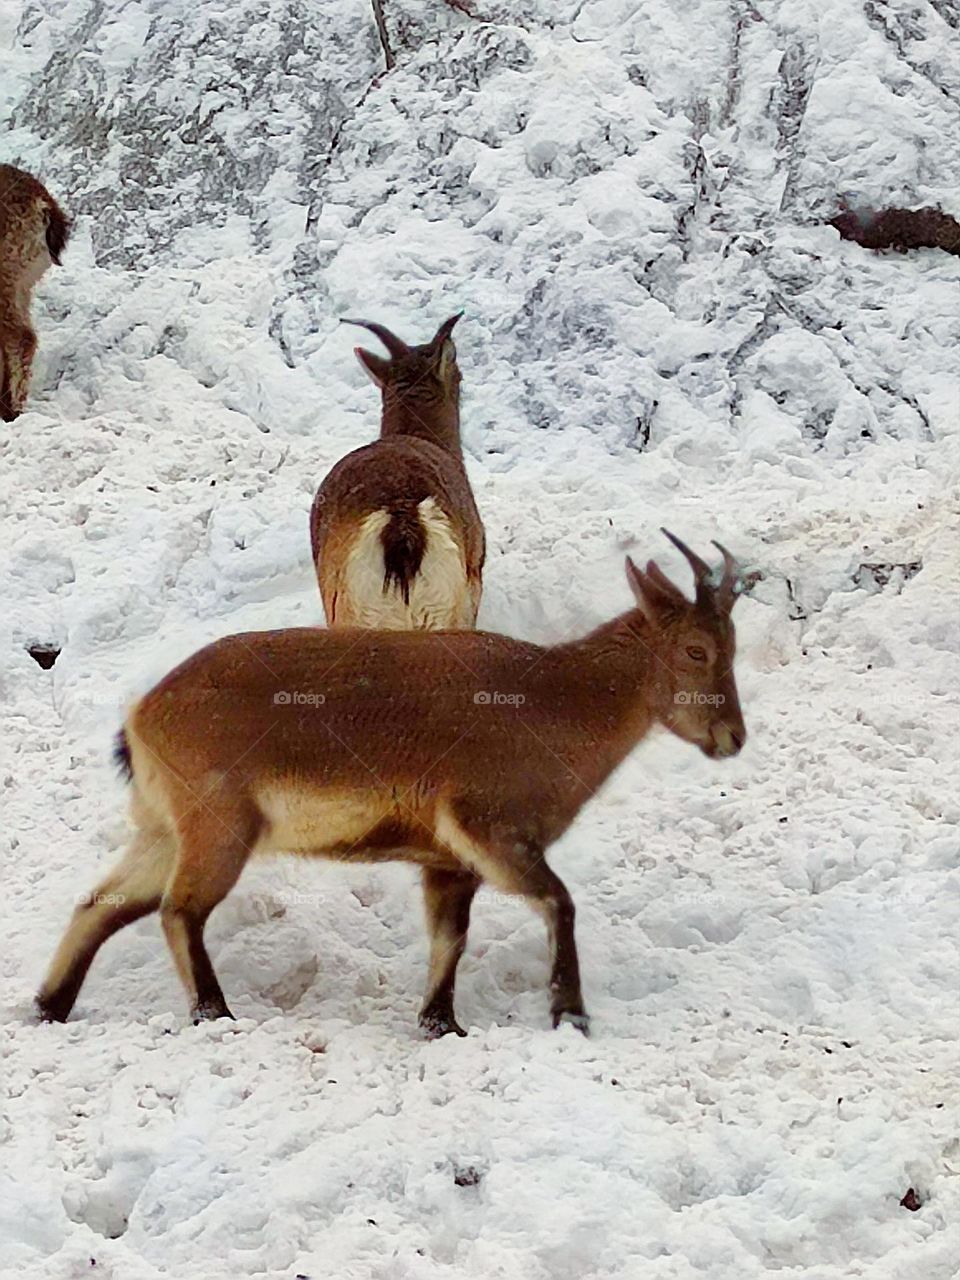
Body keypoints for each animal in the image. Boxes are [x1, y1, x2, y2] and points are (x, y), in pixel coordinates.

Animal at [36, 532, 747, 1036]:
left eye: (731, 647)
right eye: (695, 650)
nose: (732, 737)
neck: (556, 706)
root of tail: (143, 714)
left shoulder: (448, 862)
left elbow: (449, 938)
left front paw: (441, 1023)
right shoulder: (487, 827)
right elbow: (558, 902)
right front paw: (569, 1015)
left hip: (165, 830)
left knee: (102, 904)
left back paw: (49, 1007)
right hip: (219, 827)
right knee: (178, 911)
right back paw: (216, 1013)